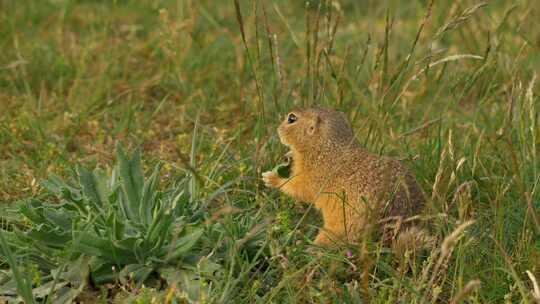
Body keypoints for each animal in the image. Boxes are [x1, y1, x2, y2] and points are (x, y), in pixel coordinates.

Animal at [262, 108, 426, 246]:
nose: (278, 129)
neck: (327, 147)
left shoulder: (313, 176)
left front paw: (271, 178)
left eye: (292, 118)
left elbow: (298, 188)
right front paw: (288, 156)